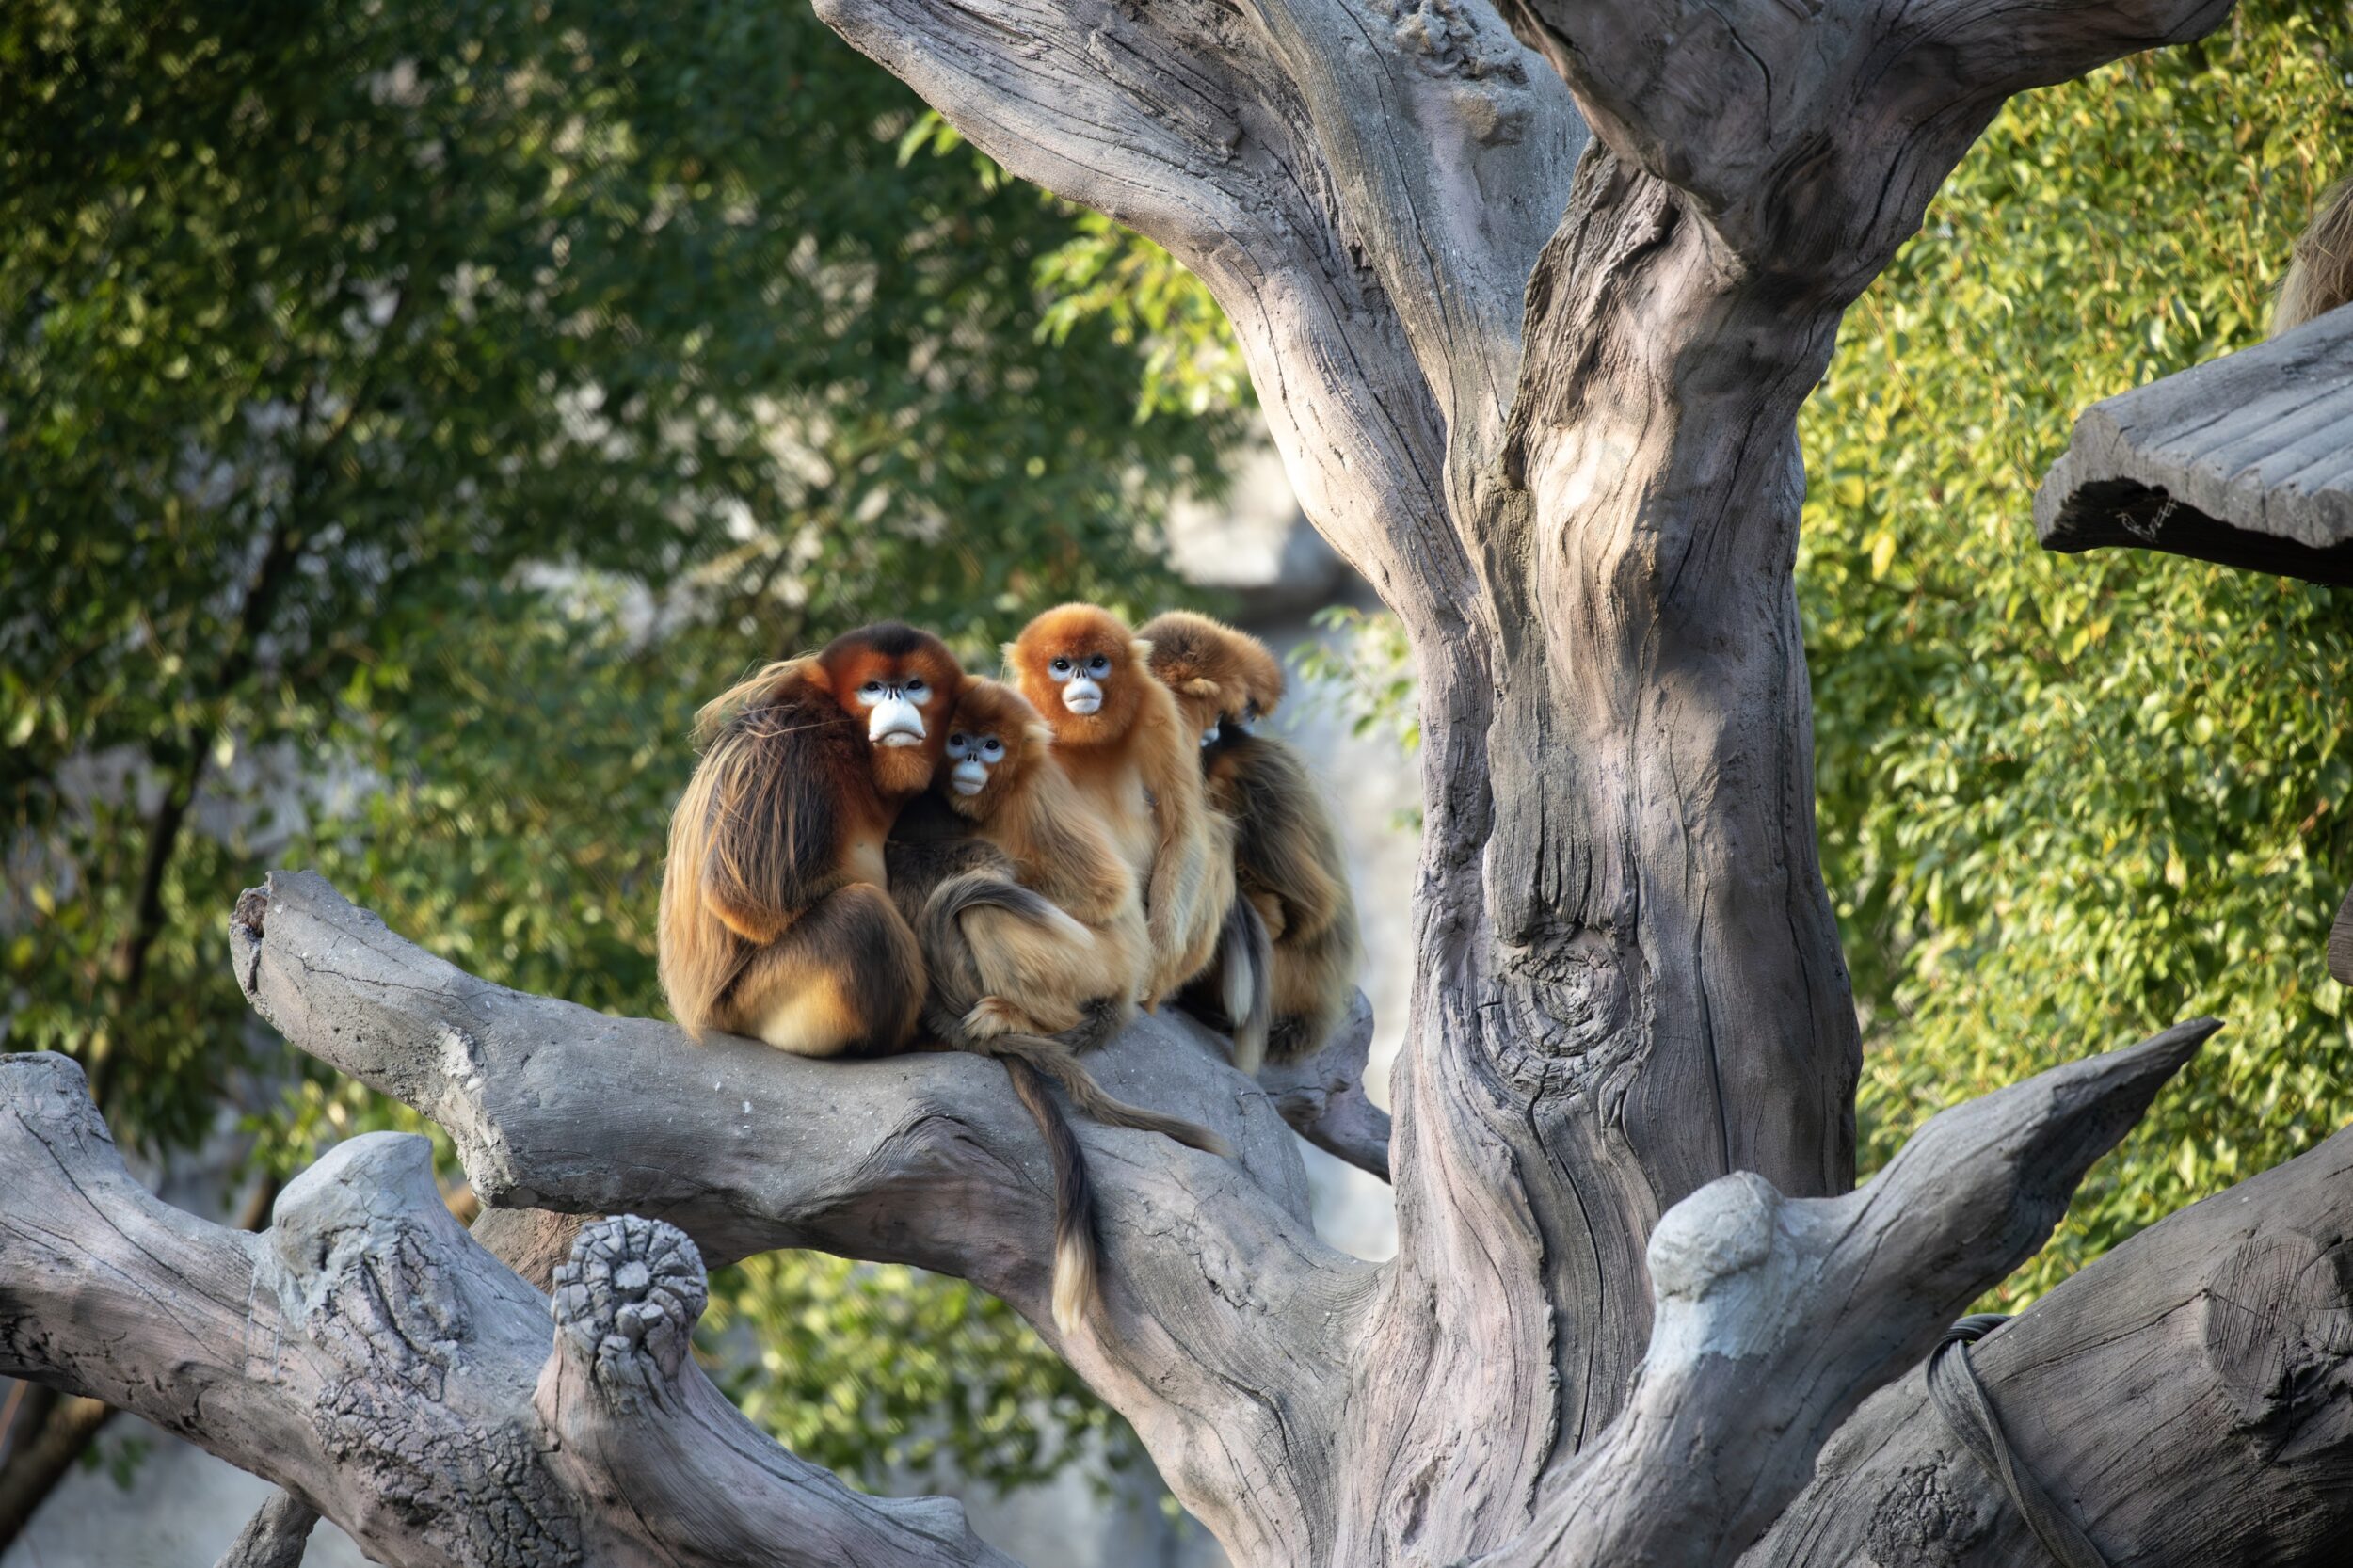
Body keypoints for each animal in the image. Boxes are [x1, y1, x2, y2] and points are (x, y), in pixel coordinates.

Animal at [659, 621, 960, 1049]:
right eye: (872, 688)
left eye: (914, 685)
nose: (896, 700)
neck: (851, 743)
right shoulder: (793, 746)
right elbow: (745, 897)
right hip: (756, 1001)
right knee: (862, 915)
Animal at [1007, 598, 1233, 1002]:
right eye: (1061, 665)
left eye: (1098, 662)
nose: (1081, 677)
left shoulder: (1158, 706)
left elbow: (1184, 829)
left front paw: (1153, 967)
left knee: (1216, 835)